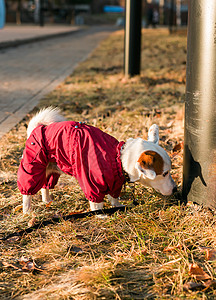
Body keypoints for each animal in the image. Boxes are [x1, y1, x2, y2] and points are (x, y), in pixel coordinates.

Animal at [17, 108, 176, 213]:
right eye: (165, 173)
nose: (175, 189)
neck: (118, 158)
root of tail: (37, 128)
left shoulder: (114, 183)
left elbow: (114, 198)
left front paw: (118, 207)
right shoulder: (91, 184)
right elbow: (96, 203)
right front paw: (100, 216)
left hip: (51, 170)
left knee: (45, 185)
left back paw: (47, 200)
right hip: (32, 168)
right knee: (27, 193)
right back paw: (27, 211)